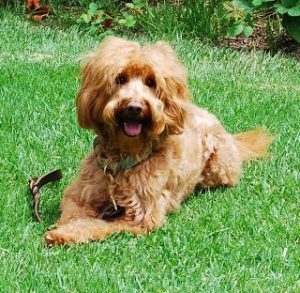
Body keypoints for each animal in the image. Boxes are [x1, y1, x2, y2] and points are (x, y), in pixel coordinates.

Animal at [44, 37, 272, 246]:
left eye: (151, 82)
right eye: (120, 78)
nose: (134, 107)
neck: (124, 158)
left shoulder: (141, 216)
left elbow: (95, 225)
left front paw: (64, 234)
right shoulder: (79, 195)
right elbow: (74, 215)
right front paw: (63, 230)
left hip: (219, 167)